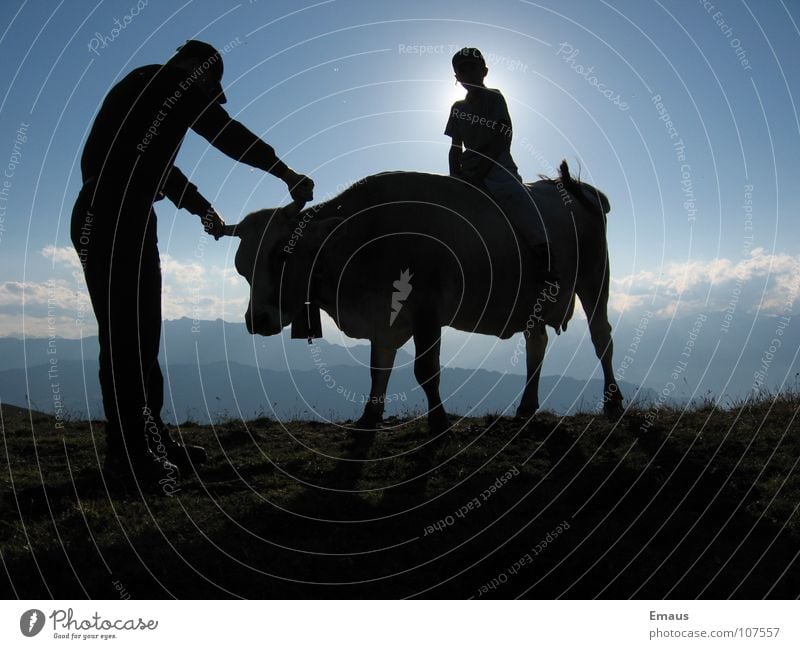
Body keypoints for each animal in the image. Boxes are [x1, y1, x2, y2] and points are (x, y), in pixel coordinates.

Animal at [222, 161, 620, 430]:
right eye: (242, 268)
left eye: (282, 255)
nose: (257, 320)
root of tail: (579, 189)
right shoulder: (382, 319)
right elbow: (378, 368)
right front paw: (369, 416)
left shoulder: (427, 310)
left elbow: (426, 370)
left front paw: (439, 420)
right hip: (534, 301)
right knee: (536, 343)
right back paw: (526, 406)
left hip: (594, 279)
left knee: (602, 337)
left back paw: (613, 402)